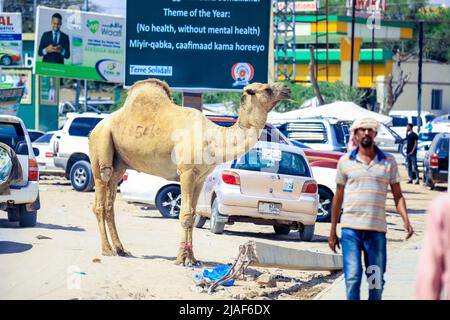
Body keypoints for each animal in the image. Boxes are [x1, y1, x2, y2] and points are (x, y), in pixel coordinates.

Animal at [89, 78, 292, 264]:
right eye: (267, 89)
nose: (287, 88)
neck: (214, 138)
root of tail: (96, 127)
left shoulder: (200, 178)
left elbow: (194, 213)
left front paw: (193, 259)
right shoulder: (186, 172)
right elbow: (185, 214)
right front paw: (181, 259)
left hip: (119, 165)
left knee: (110, 204)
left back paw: (121, 249)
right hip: (101, 147)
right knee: (100, 199)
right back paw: (107, 250)